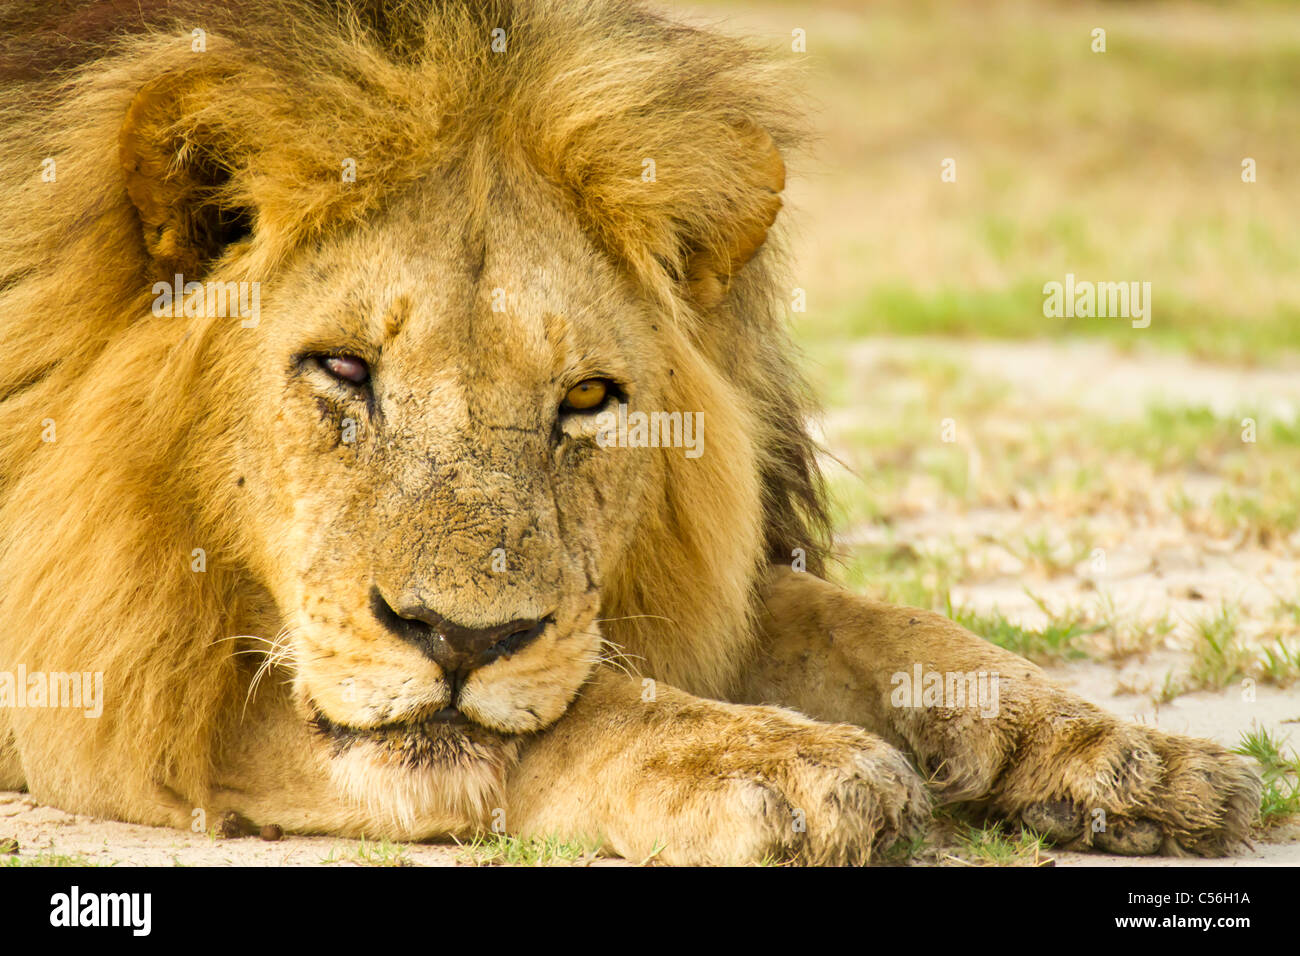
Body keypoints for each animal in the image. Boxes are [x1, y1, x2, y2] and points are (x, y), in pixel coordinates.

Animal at [0, 0, 1260, 865]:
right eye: (342, 368)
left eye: (589, 397)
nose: (462, 640)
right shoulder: (124, 664)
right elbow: (572, 710)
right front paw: (782, 760)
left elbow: (879, 623)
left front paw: (1126, 753)